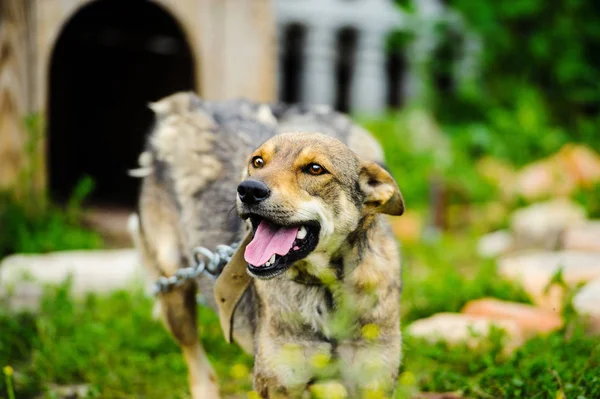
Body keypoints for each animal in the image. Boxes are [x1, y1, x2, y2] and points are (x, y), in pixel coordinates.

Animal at [130, 91, 404, 399]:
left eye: (315, 169)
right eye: (258, 162)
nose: (248, 189)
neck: (325, 289)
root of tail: (185, 102)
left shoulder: (373, 382)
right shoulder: (279, 384)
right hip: (173, 287)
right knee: (197, 363)